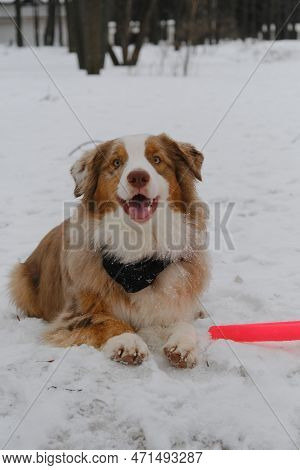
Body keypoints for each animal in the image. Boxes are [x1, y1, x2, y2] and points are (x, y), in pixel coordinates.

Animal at [9, 132, 211, 368]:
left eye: (157, 159)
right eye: (116, 162)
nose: (138, 177)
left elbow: (183, 323)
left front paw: (183, 344)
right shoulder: (74, 314)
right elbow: (106, 320)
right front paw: (128, 341)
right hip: (18, 277)